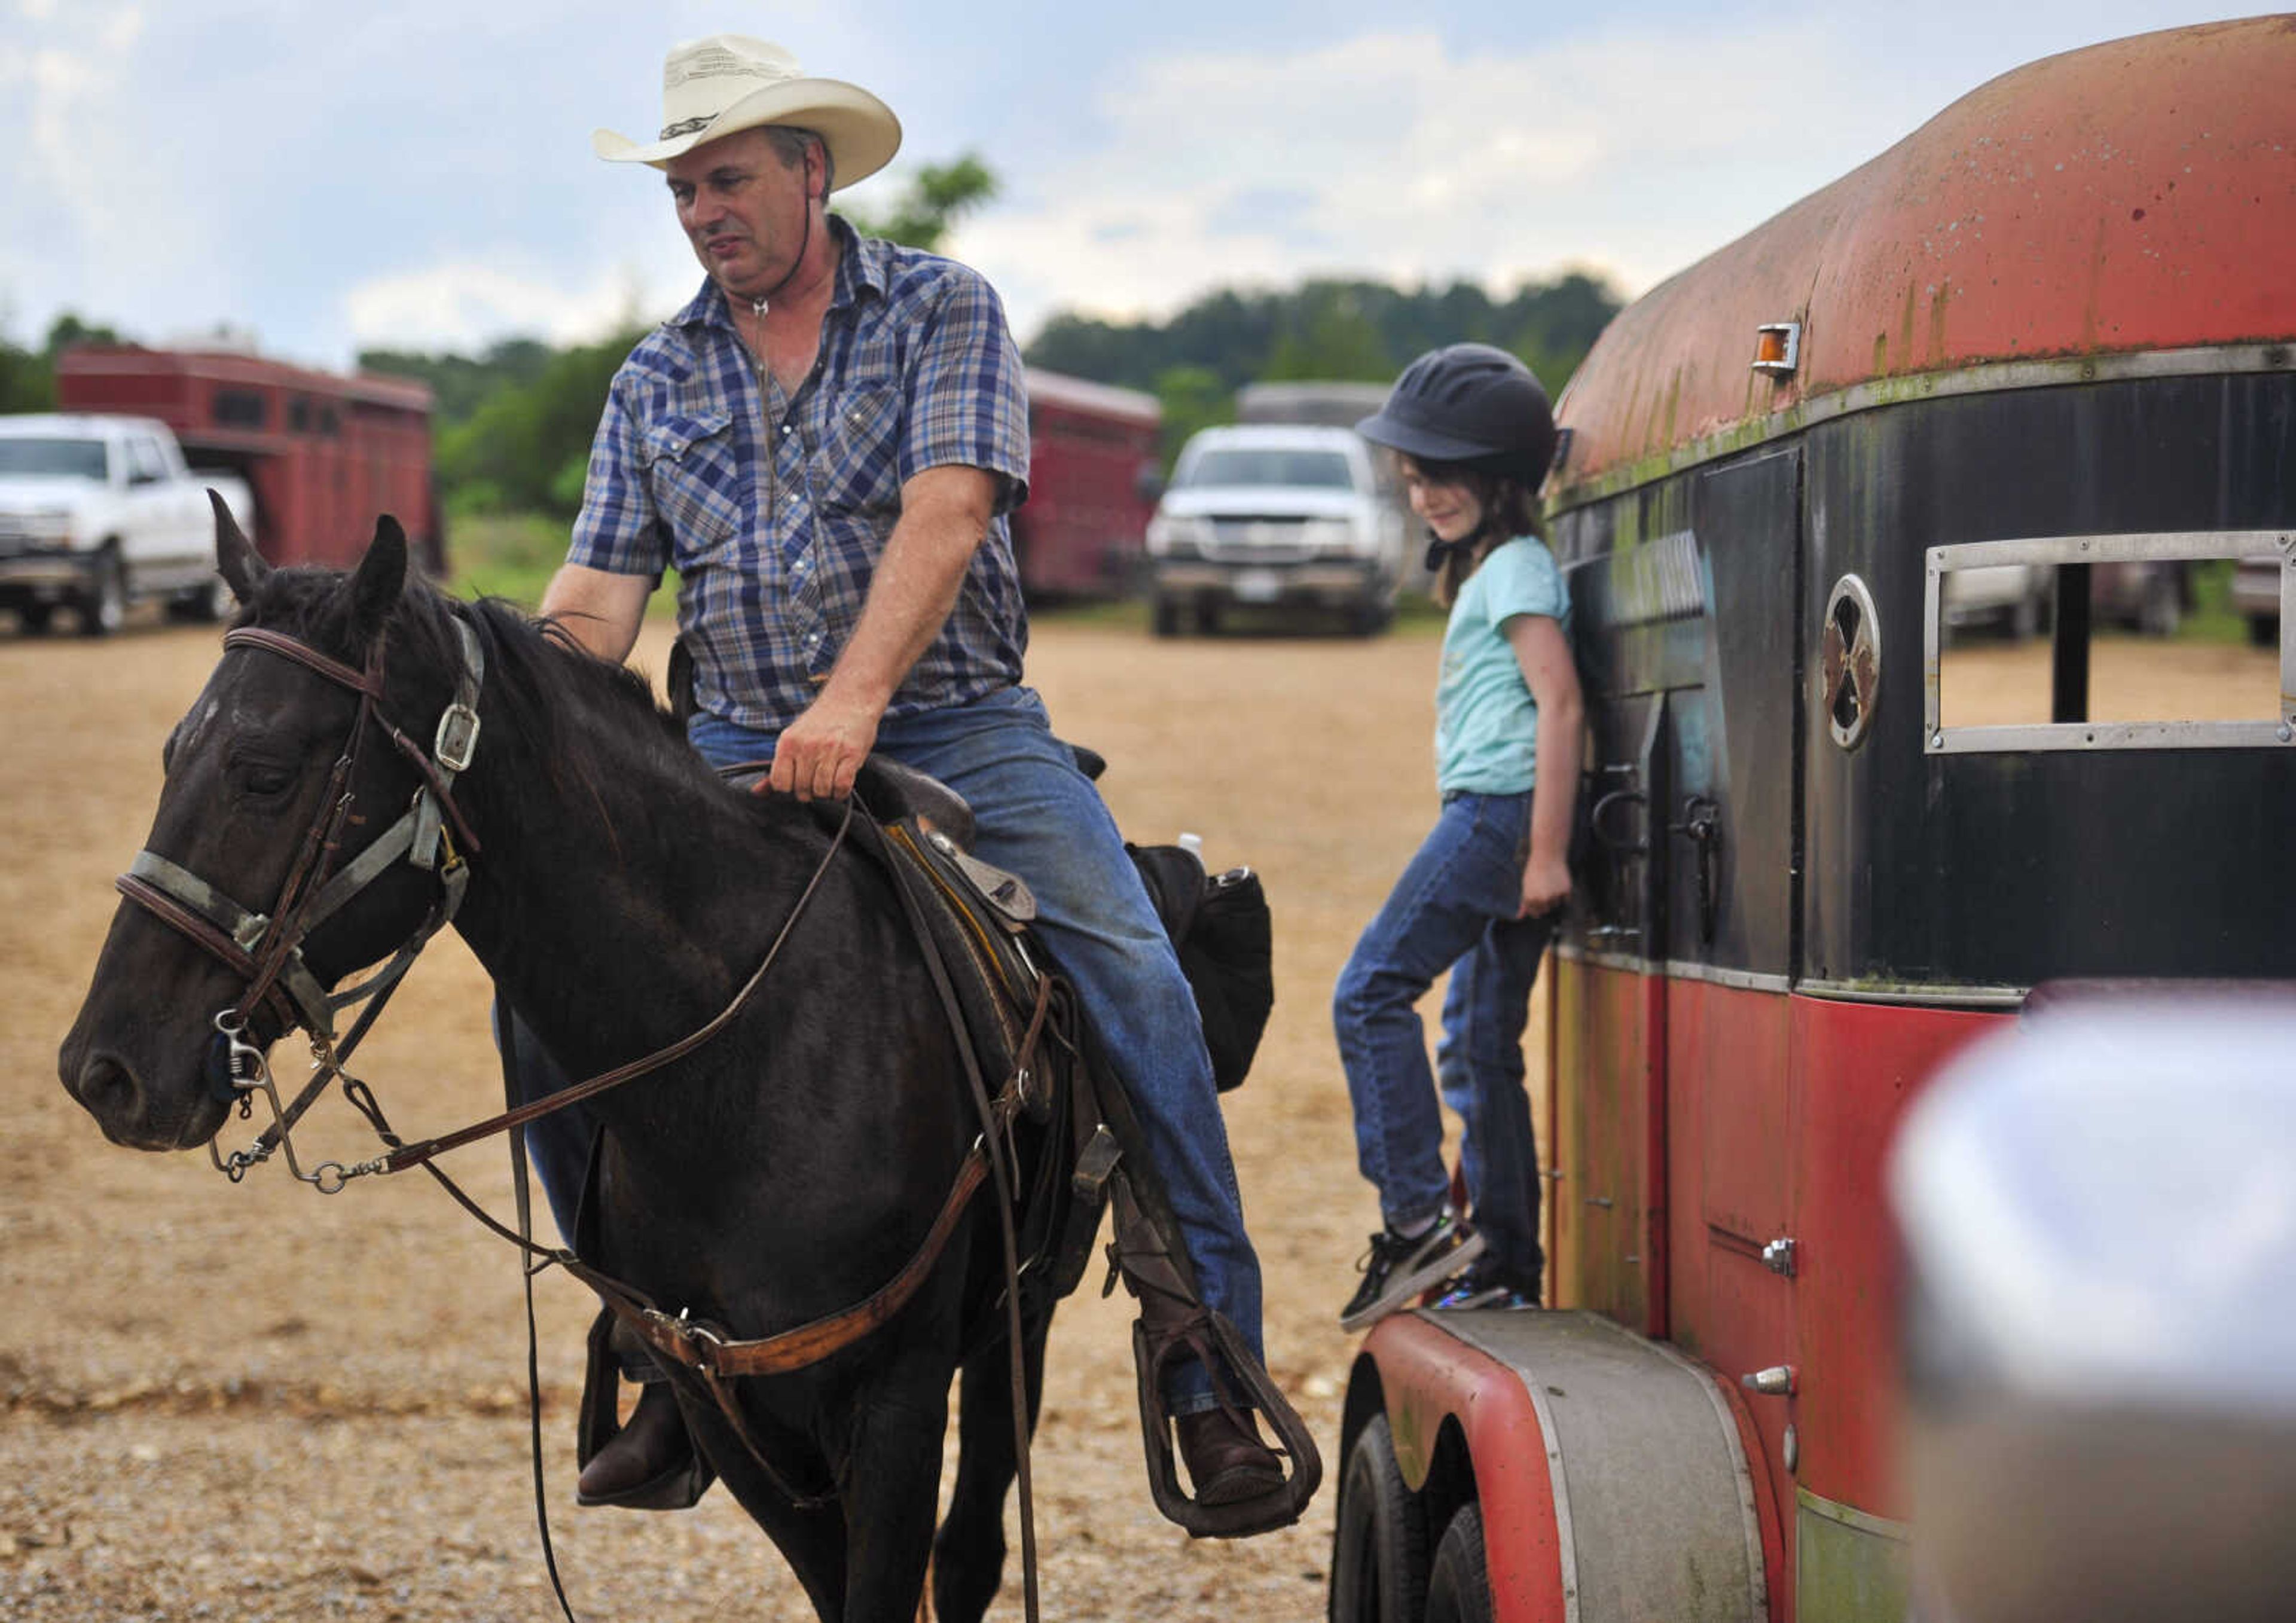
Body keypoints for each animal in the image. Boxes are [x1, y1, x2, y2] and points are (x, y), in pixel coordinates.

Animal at [56, 512, 1056, 1623]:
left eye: (264, 772)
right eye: (171, 753)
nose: (105, 1068)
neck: (763, 1061)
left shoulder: (895, 1407)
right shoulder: (726, 1409)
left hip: (1019, 1324)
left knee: (974, 1539)